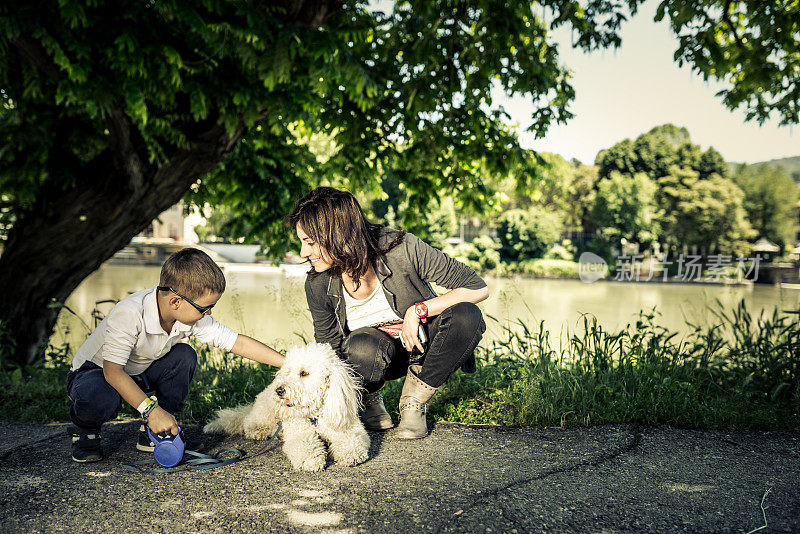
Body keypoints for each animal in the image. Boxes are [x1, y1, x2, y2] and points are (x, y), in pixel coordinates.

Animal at [205, 344, 370, 474]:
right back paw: (261, 431)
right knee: (250, 423)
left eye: (303, 373)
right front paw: (311, 461)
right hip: (266, 412)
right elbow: (305, 445)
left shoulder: (346, 426)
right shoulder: (299, 433)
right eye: (287, 371)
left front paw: (351, 454)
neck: (314, 416)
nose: (279, 390)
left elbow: (351, 440)